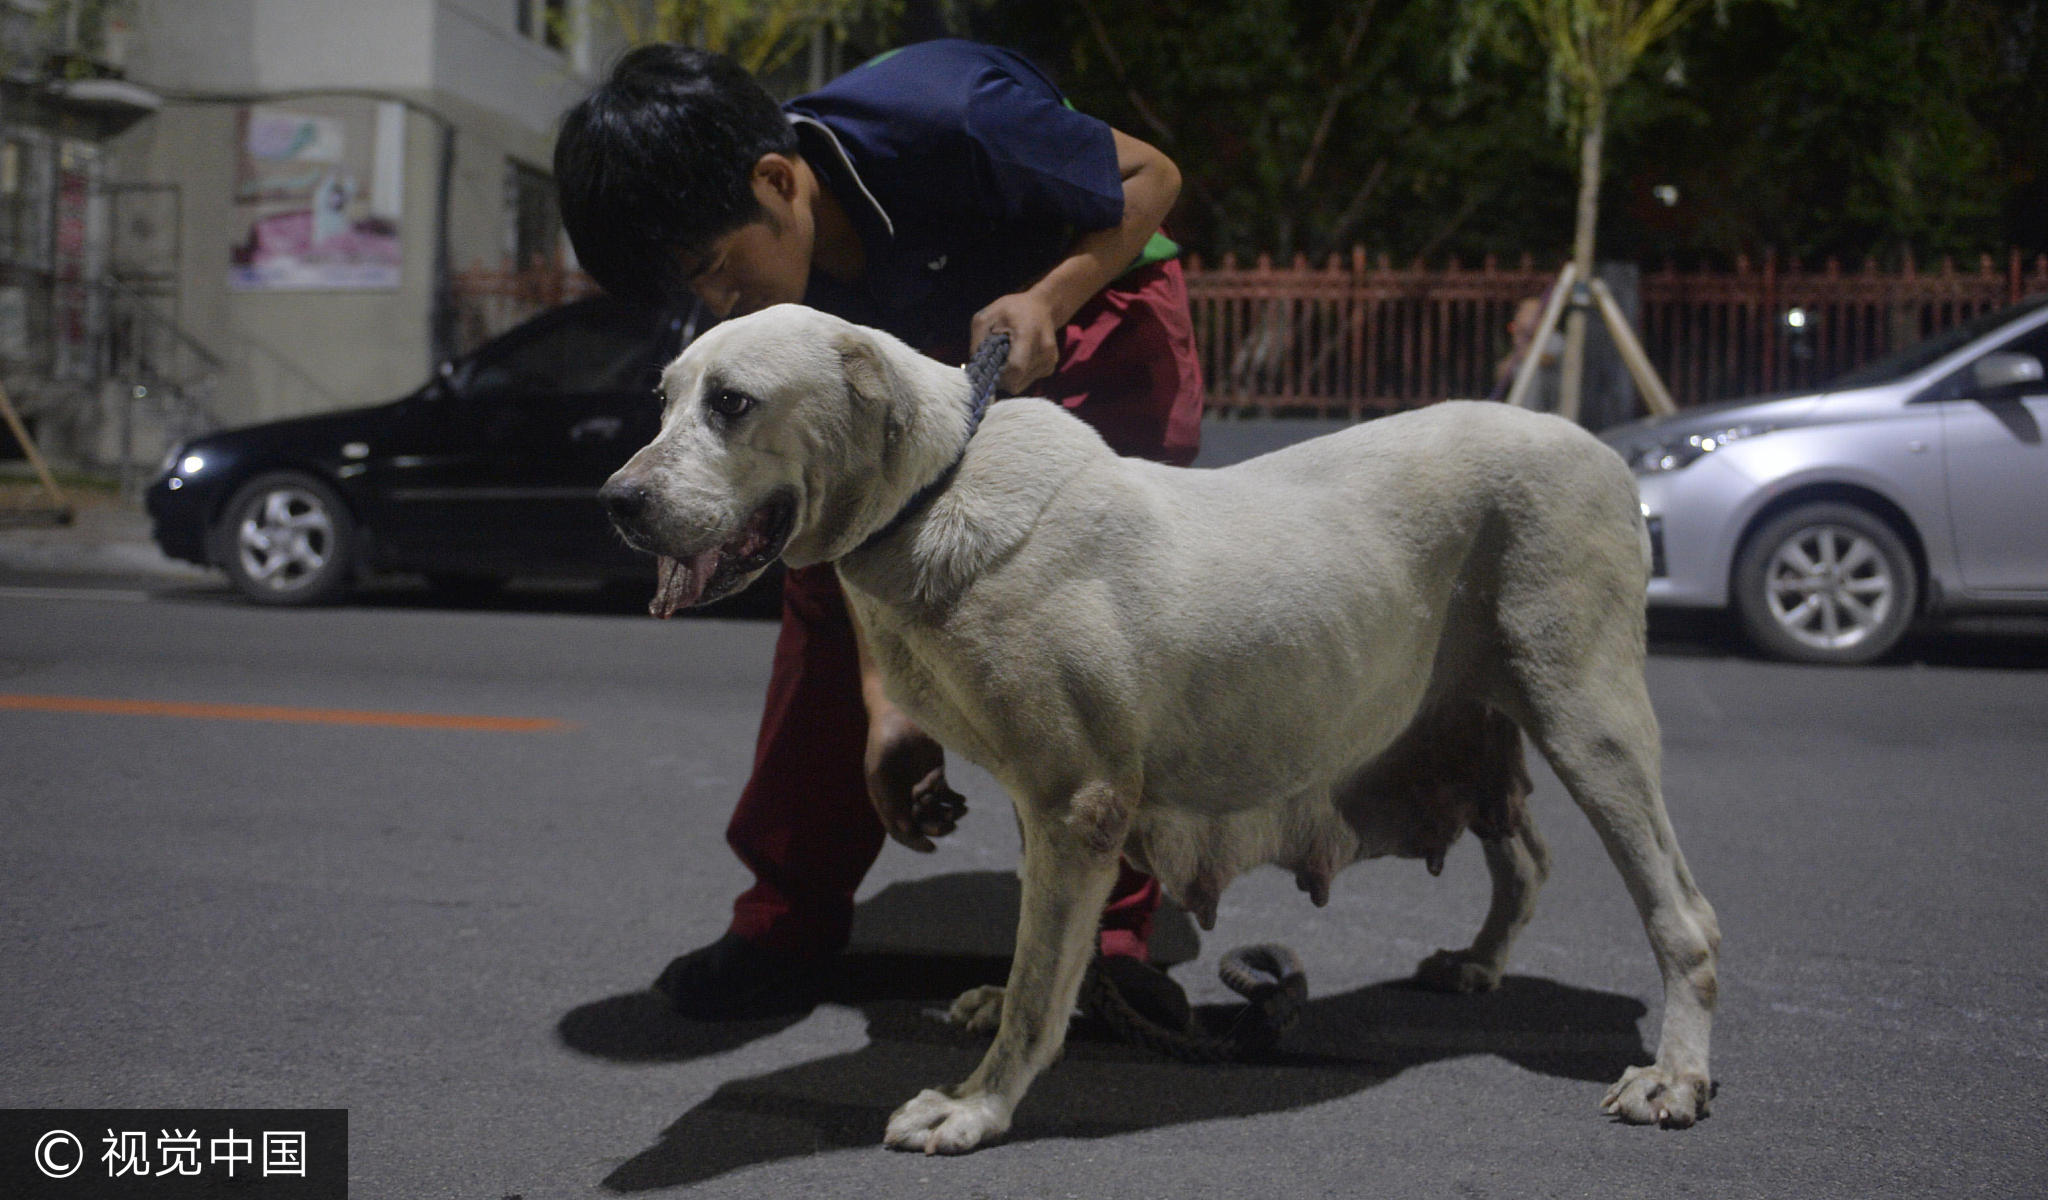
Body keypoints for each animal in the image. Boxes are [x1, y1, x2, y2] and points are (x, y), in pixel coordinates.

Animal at [598, 303, 1720, 1154]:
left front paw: (978, 1104)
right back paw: (1481, 962)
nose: (616, 500)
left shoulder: (1077, 802)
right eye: (664, 400)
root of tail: (1598, 448)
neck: (933, 487)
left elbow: (1038, 981)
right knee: (1526, 855)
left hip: (1588, 717)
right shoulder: (1047, 809)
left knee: (1685, 918)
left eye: (732, 403)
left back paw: (1674, 1076)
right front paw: (1029, 1004)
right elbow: (1044, 951)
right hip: (1475, 712)